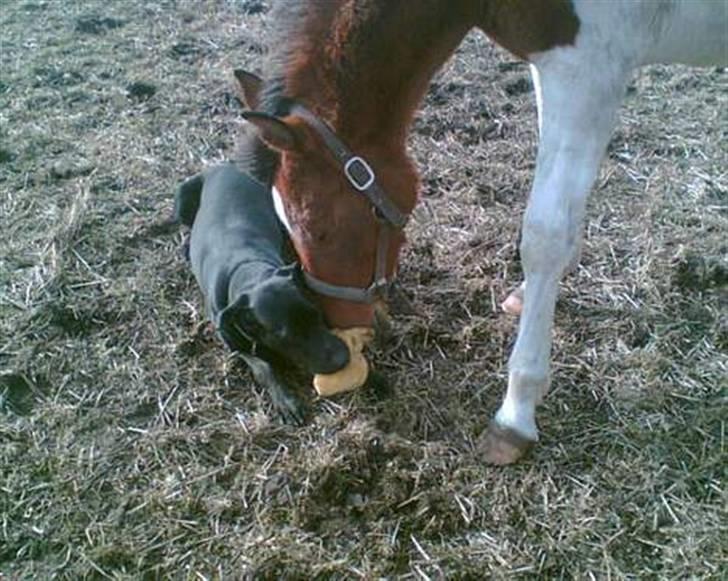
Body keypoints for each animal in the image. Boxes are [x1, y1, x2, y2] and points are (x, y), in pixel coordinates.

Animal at [173, 162, 350, 422]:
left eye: (316, 314)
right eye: (287, 336)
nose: (343, 358)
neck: (248, 272)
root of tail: (223, 165)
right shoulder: (233, 343)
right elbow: (263, 367)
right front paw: (286, 401)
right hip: (181, 198)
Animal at [239, 0, 728, 462]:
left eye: (318, 228)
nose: (340, 331)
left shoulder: (587, 67)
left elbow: (545, 233)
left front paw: (516, 412)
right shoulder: (552, 66)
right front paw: (534, 290)